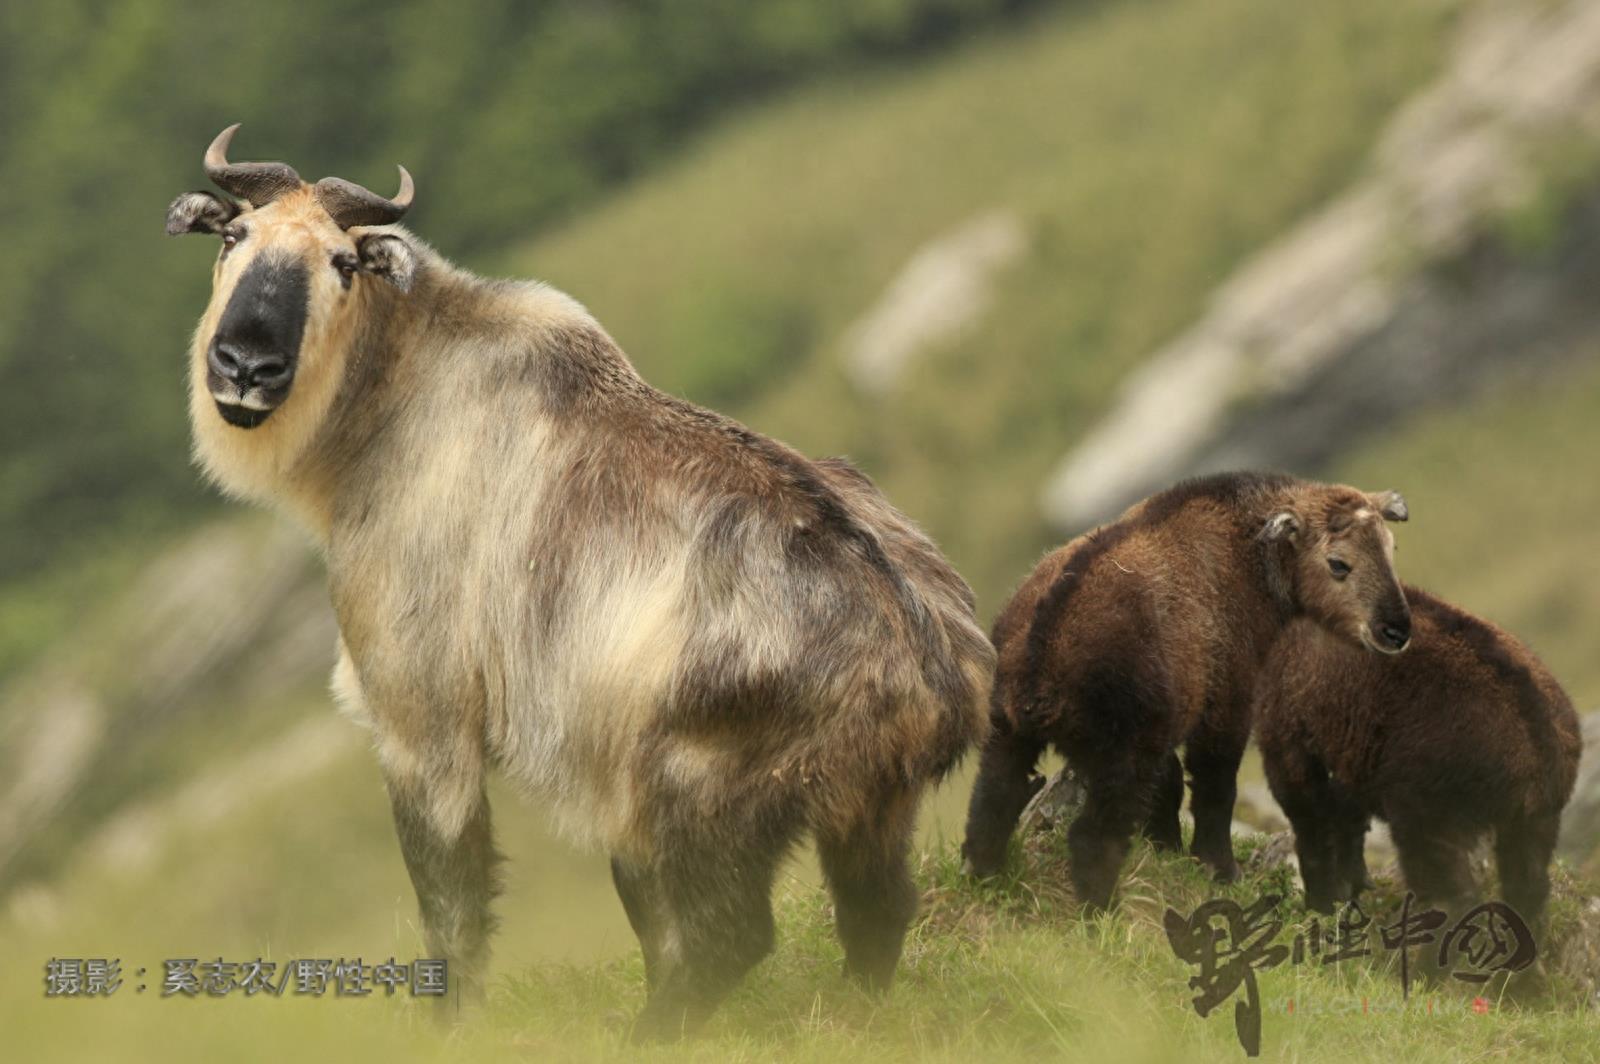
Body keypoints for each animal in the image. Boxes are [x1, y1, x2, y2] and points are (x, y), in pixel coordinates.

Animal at [960, 470, 1414, 908]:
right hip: (1120, 755)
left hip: (1009, 735)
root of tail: (1042, 650)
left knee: (991, 806)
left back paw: (989, 882)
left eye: (1391, 549)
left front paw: (1171, 850)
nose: (1395, 631)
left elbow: (1173, 782)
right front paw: (1220, 868)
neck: (1247, 555)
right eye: (1338, 564)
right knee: (1091, 837)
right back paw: (1103, 913)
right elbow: (1216, 786)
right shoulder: (1228, 699)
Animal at [1254, 585, 1580, 928]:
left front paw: (1321, 903)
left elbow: (1308, 812)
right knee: (1528, 882)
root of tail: (1536, 743)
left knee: (1446, 883)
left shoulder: (1286, 720)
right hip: (1534, 819)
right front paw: (1349, 889)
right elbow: (1346, 813)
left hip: (1433, 801)